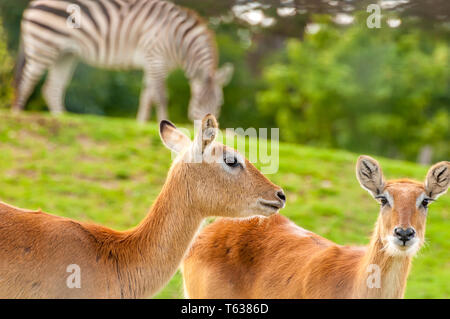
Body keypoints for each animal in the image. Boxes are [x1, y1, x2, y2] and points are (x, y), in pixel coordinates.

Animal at [12, 0, 234, 122]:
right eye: (198, 102)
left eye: (219, 104)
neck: (178, 41)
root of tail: (32, 4)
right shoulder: (156, 58)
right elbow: (161, 95)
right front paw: (165, 121)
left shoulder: (152, 63)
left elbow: (147, 96)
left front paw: (142, 125)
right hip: (43, 47)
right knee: (26, 81)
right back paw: (18, 115)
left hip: (65, 54)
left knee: (51, 87)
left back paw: (62, 117)